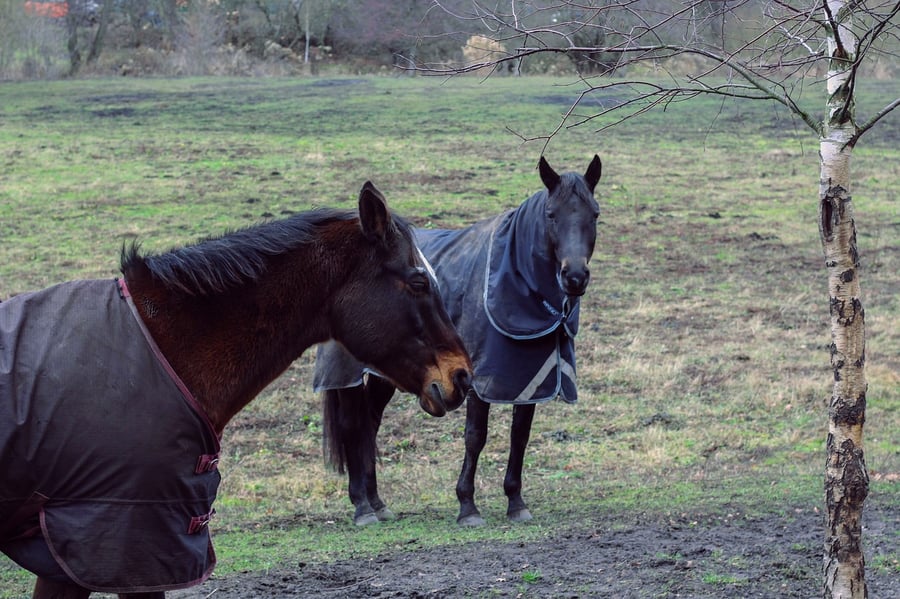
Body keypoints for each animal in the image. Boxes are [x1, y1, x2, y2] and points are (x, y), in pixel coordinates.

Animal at [314, 155, 601, 526]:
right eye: (551, 215)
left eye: (594, 214)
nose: (575, 276)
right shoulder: (478, 377)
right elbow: (475, 436)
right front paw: (468, 505)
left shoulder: (528, 378)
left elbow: (520, 436)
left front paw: (516, 501)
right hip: (347, 371)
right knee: (353, 425)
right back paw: (362, 506)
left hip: (388, 373)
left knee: (370, 424)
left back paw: (377, 502)